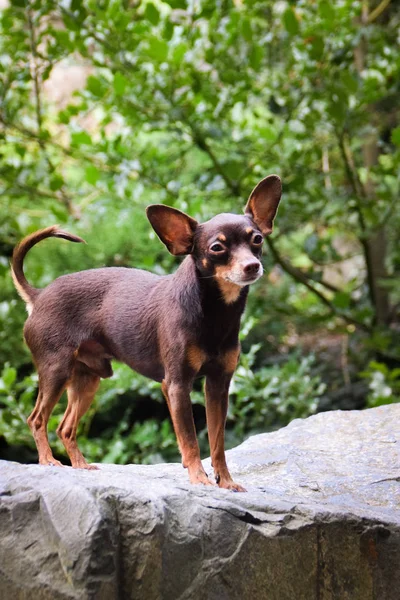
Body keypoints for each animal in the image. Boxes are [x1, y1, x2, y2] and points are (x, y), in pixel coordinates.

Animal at [11, 173, 282, 492]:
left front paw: (225, 481)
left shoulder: (218, 385)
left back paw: (79, 465)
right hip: (56, 371)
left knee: (65, 427)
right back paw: (48, 461)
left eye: (257, 239)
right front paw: (199, 478)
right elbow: (191, 440)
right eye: (217, 248)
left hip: (87, 378)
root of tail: (39, 295)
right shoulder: (177, 385)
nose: (252, 266)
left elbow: (217, 443)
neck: (214, 313)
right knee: (36, 419)